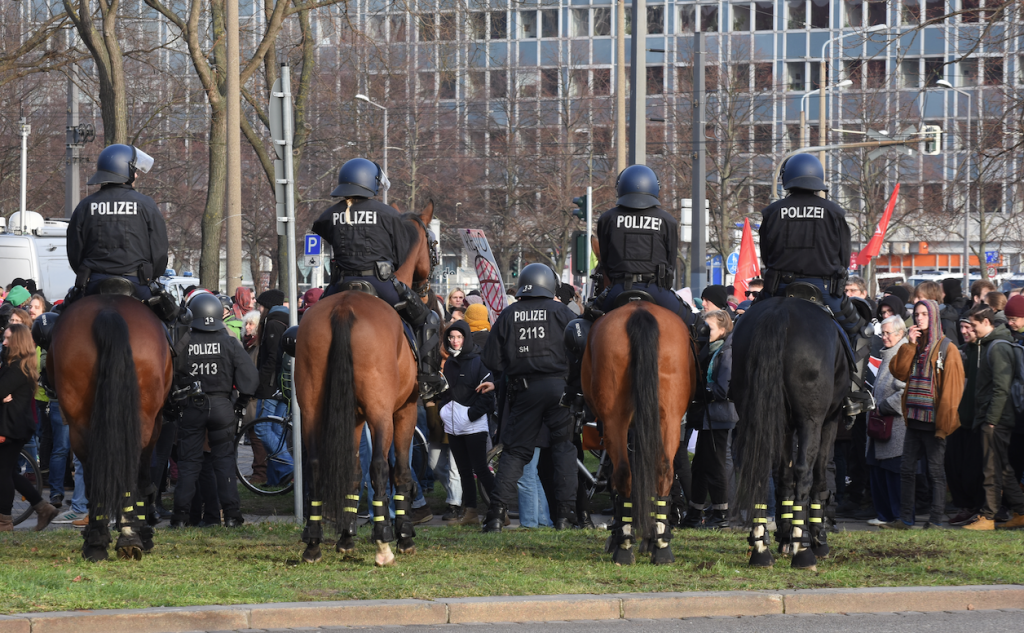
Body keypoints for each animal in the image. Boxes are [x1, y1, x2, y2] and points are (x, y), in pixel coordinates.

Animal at [48, 292, 171, 561]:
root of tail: (109, 311)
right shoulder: (156, 424)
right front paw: (143, 532)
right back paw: (127, 537)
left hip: (79, 424)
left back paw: (97, 541)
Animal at [296, 200, 440, 561]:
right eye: (432, 245)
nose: (426, 290)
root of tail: (344, 308)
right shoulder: (404, 410)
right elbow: (399, 470)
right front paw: (404, 534)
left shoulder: (353, 417)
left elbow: (350, 470)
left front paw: (346, 537)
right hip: (381, 412)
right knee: (379, 467)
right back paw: (384, 542)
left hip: (313, 409)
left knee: (319, 463)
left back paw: (314, 541)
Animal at [581, 241, 700, 561]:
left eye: (595, 277)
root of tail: (639, 309)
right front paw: (649, 534)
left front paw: (624, 531)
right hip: (668, 416)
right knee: (663, 468)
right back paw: (661, 545)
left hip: (614, 419)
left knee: (623, 472)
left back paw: (622, 547)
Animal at [737, 294, 847, 565]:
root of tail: (781, 310)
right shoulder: (829, 420)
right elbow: (819, 474)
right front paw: (816, 538)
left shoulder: (784, 426)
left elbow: (783, 476)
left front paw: (784, 536)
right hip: (811, 420)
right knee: (805, 471)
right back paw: (803, 550)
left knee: (761, 468)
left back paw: (761, 547)